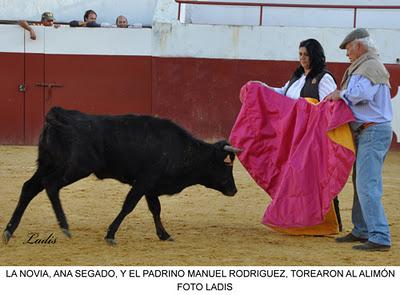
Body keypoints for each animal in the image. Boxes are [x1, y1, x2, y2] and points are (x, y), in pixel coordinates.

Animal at [3, 107, 241, 246]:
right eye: (226, 167)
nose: (234, 190)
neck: (181, 150)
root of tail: (57, 116)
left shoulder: (150, 186)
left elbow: (155, 209)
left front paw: (164, 235)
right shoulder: (144, 181)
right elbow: (129, 206)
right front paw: (110, 235)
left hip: (47, 164)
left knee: (29, 188)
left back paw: (8, 230)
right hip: (75, 168)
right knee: (51, 186)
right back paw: (65, 227)